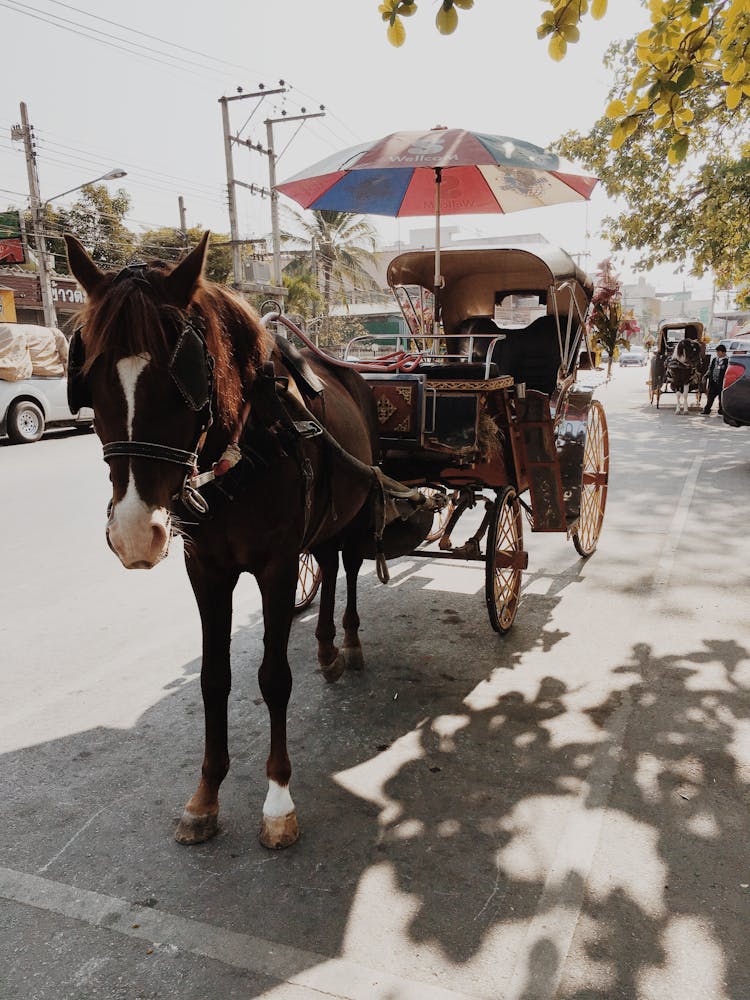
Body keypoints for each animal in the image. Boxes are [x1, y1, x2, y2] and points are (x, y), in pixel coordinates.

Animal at [63, 236, 382, 852]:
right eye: (89, 377)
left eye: (182, 378)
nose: (135, 532)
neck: (247, 447)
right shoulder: (205, 568)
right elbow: (215, 679)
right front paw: (205, 796)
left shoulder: (277, 567)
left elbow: (273, 678)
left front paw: (278, 799)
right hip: (323, 521)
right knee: (329, 564)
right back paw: (327, 649)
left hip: (357, 511)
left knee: (351, 566)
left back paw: (351, 642)